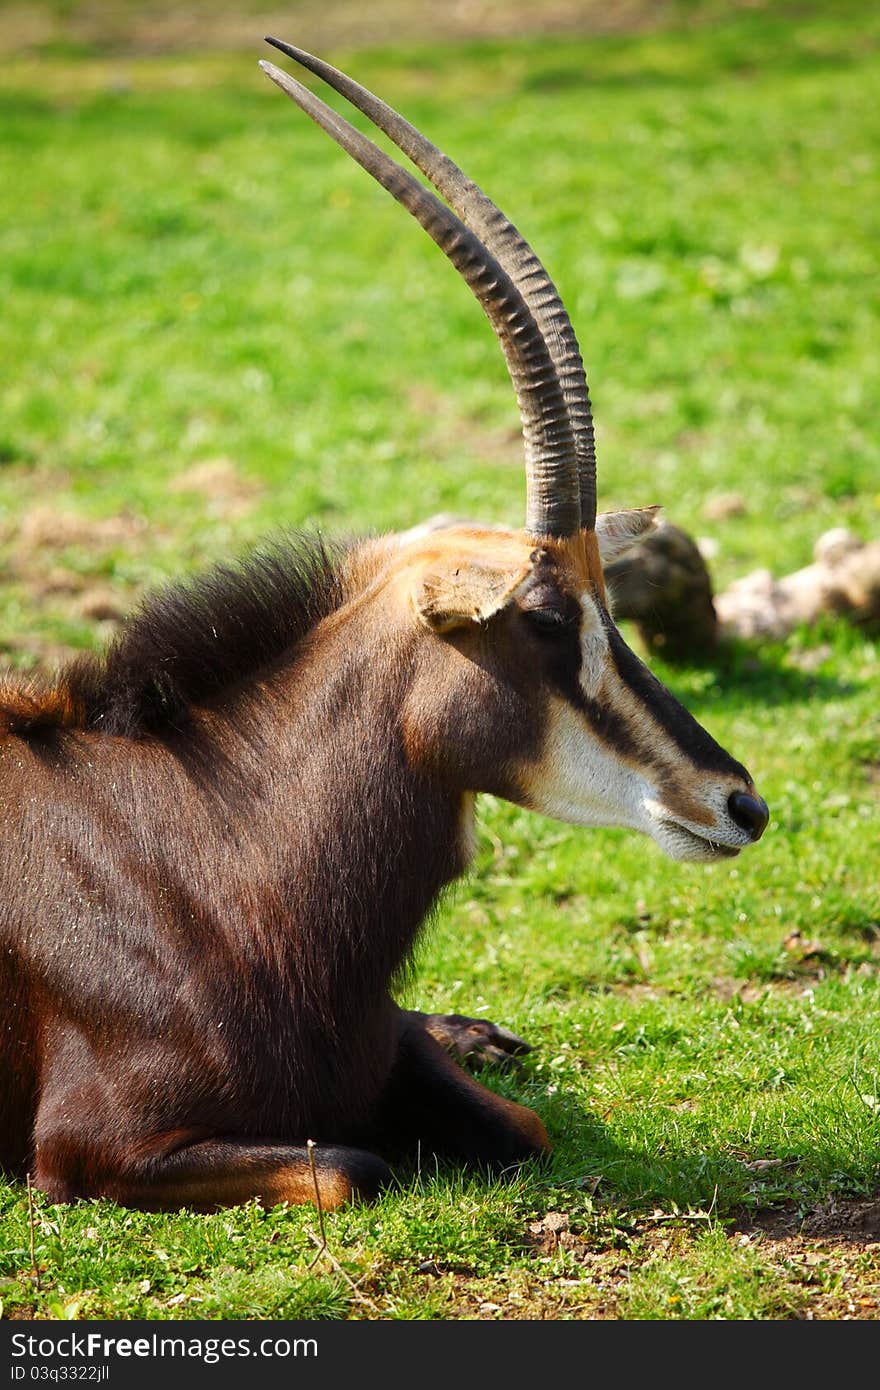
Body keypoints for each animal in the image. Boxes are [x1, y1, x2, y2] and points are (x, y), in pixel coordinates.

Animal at [0, 40, 767, 1217]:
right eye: (546, 617)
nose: (739, 803)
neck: (210, 866)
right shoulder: (90, 1151)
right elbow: (349, 1166)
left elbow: (525, 1127)